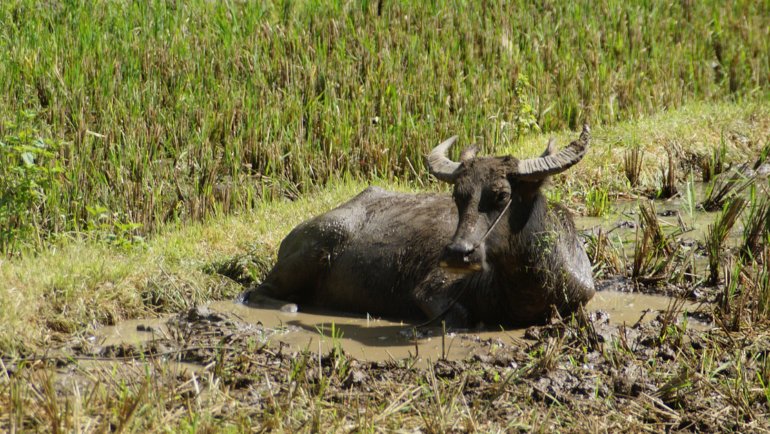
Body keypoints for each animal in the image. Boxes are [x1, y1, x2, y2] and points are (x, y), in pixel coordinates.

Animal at [246, 124, 592, 326]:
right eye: (458, 195)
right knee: (256, 291)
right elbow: (461, 317)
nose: (457, 253)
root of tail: (292, 235)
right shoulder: (429, 292)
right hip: (311, 251)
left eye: (502, 195)